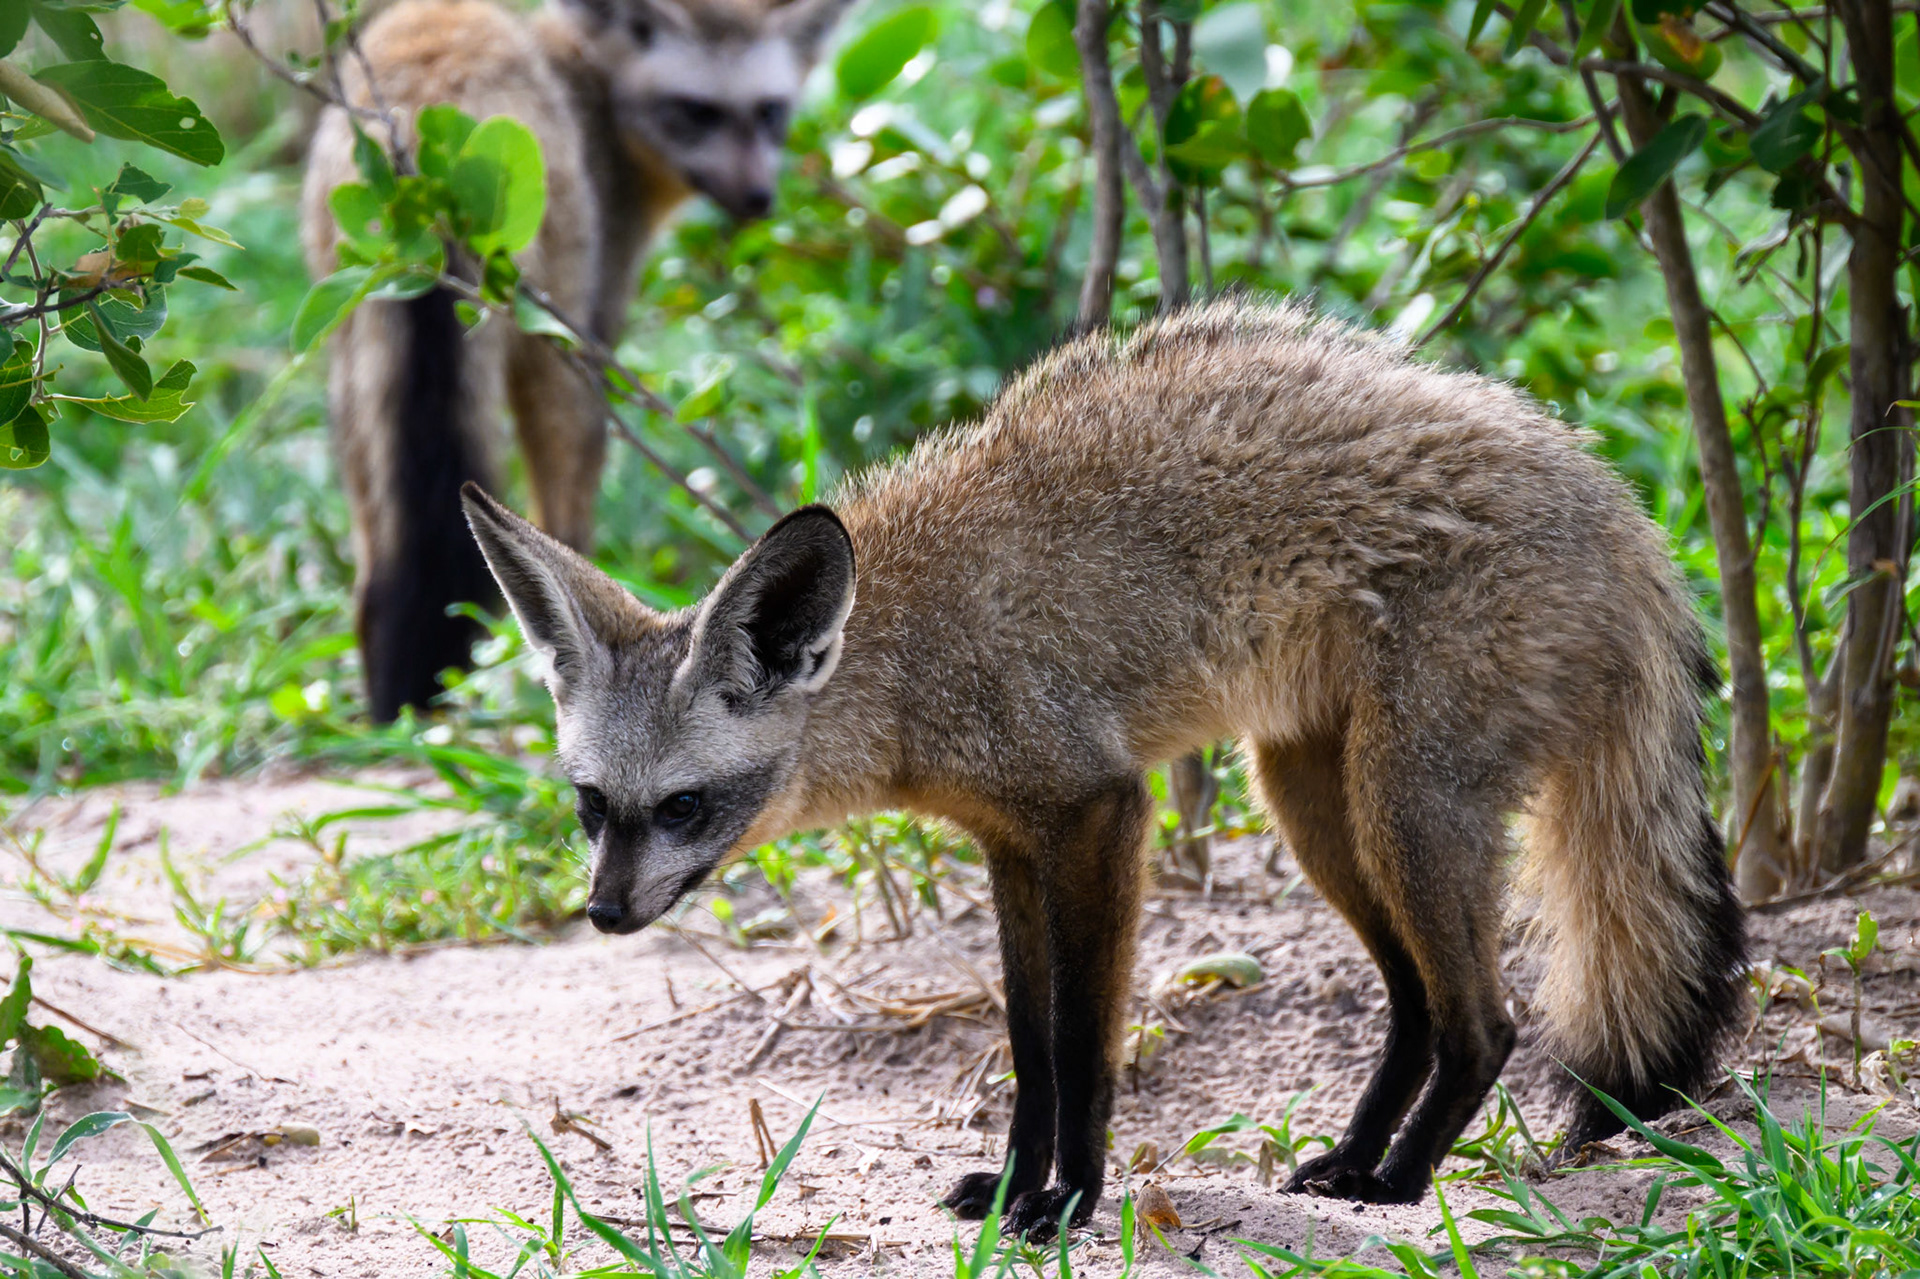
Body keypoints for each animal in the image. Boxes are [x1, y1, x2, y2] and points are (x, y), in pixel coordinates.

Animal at [301, 0, 856, 722]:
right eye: (697, 110)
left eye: (769, 111)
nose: (759, 198)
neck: (585, 84)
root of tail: (423, 106)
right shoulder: (596, 319)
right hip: (548, 333)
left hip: (352, 356)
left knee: (377, 568)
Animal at [459, 298, 1747, 1237]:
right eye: (591, 806)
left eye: (684, 805)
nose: (604, 915)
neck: (914, 647)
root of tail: (1621, 507)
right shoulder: (1010, 844)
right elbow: (1030, 1049)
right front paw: (1013, 1187)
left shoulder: (1096, 815)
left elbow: (1084, 1044)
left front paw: (1069, 1200)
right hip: (1318, 806)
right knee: (1420, 1007)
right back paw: (1352, 1157)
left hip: (1403, 809)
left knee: (1485, 1020)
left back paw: (1399, 1179)